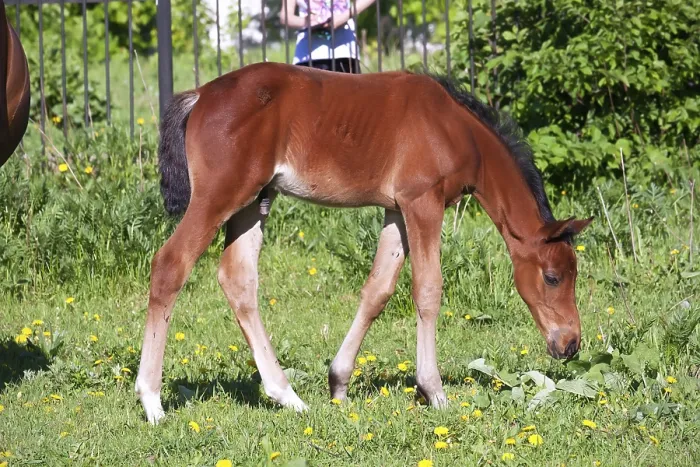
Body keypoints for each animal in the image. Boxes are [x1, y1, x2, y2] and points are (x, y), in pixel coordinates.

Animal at [134, 62, 593, 424]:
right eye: (553, 277)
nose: (570, 344)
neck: (454, 128)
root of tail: (200, 95)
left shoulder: (397, 210)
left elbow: (378, 290)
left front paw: (338, 384)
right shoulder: (423, 202)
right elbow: (428, 290)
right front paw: (435, 392)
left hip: (255, 201)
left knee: (238, 279)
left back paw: (289, 397)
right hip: (220, 195)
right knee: (170, 264)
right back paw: (153, 401)